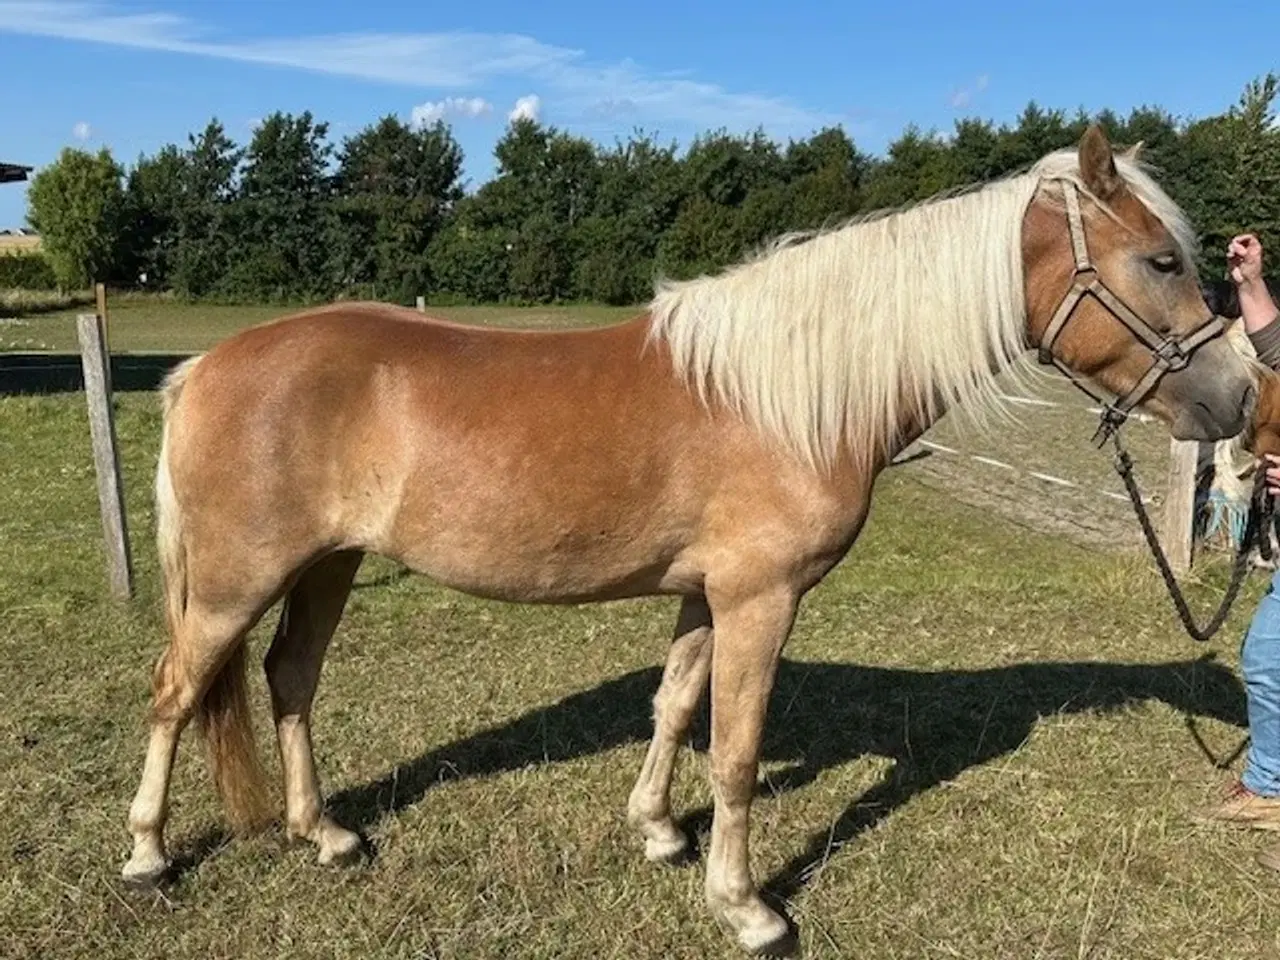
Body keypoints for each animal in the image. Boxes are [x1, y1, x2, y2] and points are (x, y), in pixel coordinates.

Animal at [122, 126, 1259, 957]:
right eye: (1160, 259)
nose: (1240, 400)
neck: (787, 395)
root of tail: (205, 366)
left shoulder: (706, 593)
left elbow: (674, 706)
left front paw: (659, 831)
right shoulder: (761, 597)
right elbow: (739, 751)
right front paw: (746, 905)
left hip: (326, 566)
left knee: (290, 679)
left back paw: (322, 833)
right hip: (235, 580)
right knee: (177, 691)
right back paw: (146, 855)